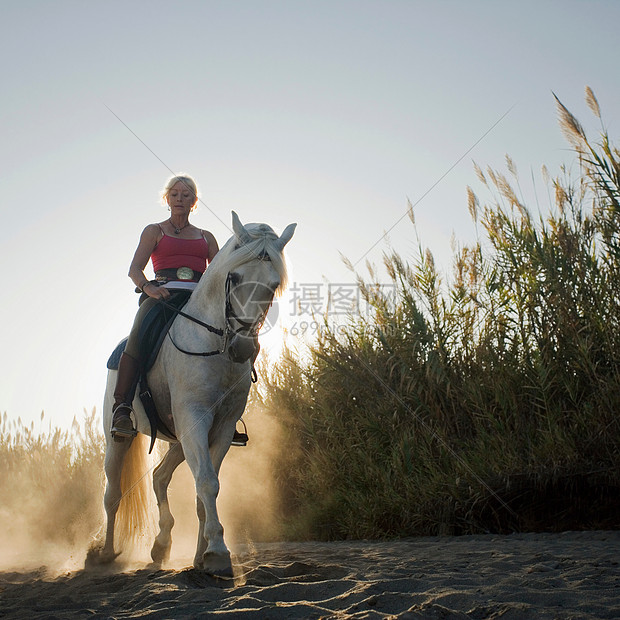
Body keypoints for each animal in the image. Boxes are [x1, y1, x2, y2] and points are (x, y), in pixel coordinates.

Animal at [90, 212, 298, 576]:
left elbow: (206, 487)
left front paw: (202, 557)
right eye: (234, 276)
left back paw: (161, 546)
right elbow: (207, 483)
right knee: (113, 493)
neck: (214, 344)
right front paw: (217, 552)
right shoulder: (195, 418)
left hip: (179, 437)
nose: (243, 348)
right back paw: (105, 554)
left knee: (159, 476)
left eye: (273, 285)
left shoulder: (221, 427)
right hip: (121, 438)